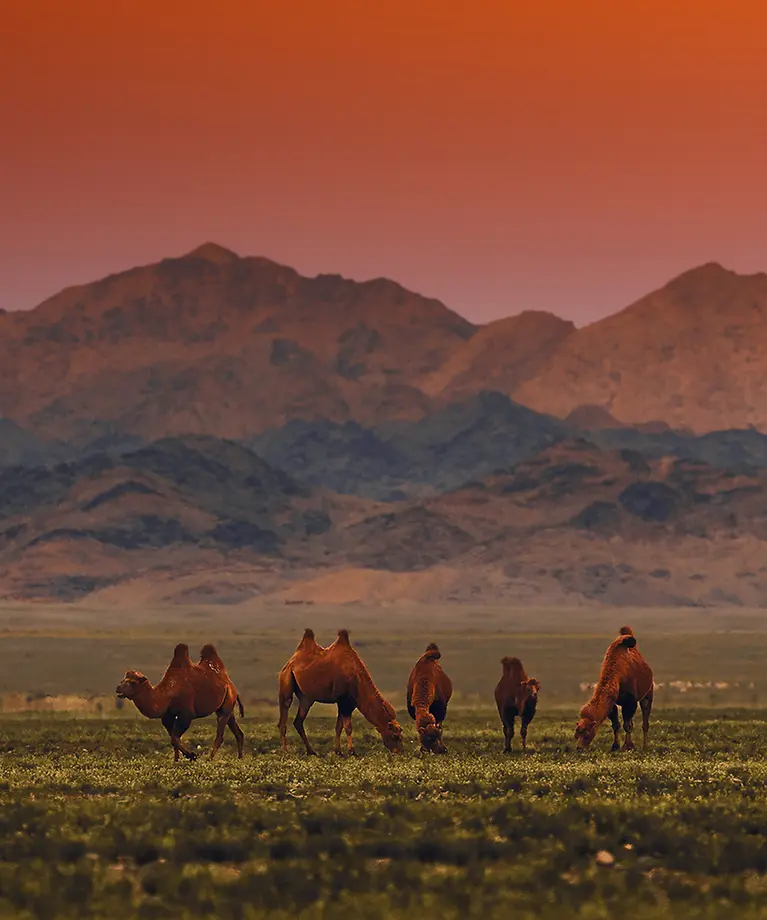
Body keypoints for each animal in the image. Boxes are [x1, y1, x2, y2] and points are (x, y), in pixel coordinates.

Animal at [114, 640, 244, 760]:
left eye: (132, 682)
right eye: (122, 680)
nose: (118, 687)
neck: (167, 694)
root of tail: (232, 686)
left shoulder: (186, 714)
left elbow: (175, 739)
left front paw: (192, 755)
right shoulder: (167, 716)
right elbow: (173, 739)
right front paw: (176, 760)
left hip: (227, 703)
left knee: (220, 733)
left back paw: (210, 759)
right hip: (228, 707)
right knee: (238, 732)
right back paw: (239, 757)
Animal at [280, 628, 404, 760]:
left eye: (400, 736)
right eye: (394, 736)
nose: (399, 751)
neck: (357, 679)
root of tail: (290, 662)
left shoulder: (348, 703)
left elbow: (338, 727)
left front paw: (338, 752)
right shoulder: (344, 701)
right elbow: (348, 727)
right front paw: (352, 752)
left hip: (306, 698)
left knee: (298, 721)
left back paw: (311, 751)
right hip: (286, 679)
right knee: (284, 713)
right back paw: (285, 752)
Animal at [576, 624, 656, 756]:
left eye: (587, 734)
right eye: (576, 734)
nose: (579, 748)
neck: (618, 676)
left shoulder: (630, 701)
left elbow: (627, 725)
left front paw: (628, 747)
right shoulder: (612, 702)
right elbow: (616, 725)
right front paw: (615, 746)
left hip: (648, 692)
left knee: (645, 719)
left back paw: (645, 746)